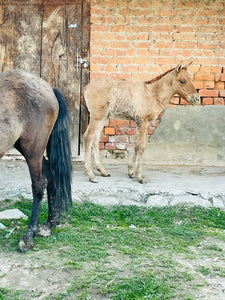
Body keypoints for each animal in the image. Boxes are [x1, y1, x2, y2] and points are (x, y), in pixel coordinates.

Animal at [0, 69, 72, 252]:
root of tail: (48, 88)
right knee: (51, 177)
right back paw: (49, 224)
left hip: (33, 148)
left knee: (39, 185)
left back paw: (29, 235)